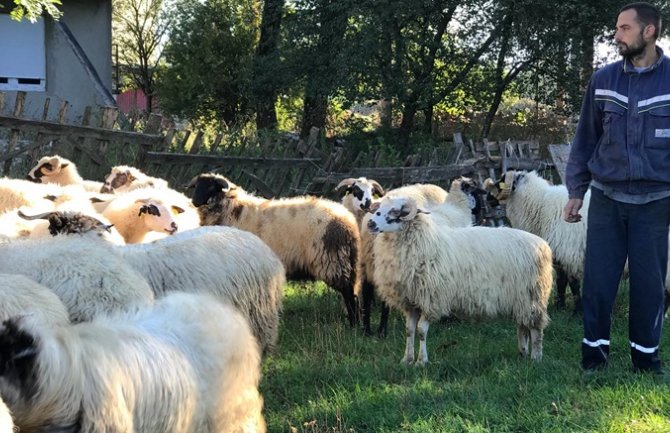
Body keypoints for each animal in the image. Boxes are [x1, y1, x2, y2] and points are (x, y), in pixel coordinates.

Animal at [192, 172, 364, 328]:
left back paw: (354, 325)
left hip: (333, 260)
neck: (232, 210)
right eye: (197, 186)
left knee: (349, 295)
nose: (194, 201)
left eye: (211, 186)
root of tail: (347, 221)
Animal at [368, 194, 552, 362]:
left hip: (533, 295)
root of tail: (542, 244)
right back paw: (523, 352)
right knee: (523, 324)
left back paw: (536, 357)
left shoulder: (432, 299)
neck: (424, 242)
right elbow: (409, 330)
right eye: (380, 208)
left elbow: (421, 331)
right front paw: (407, 360)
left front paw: (421, 361)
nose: (370, 223)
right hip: (522, 298)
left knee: (535, 327)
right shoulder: (411, 301)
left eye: (395, 211)